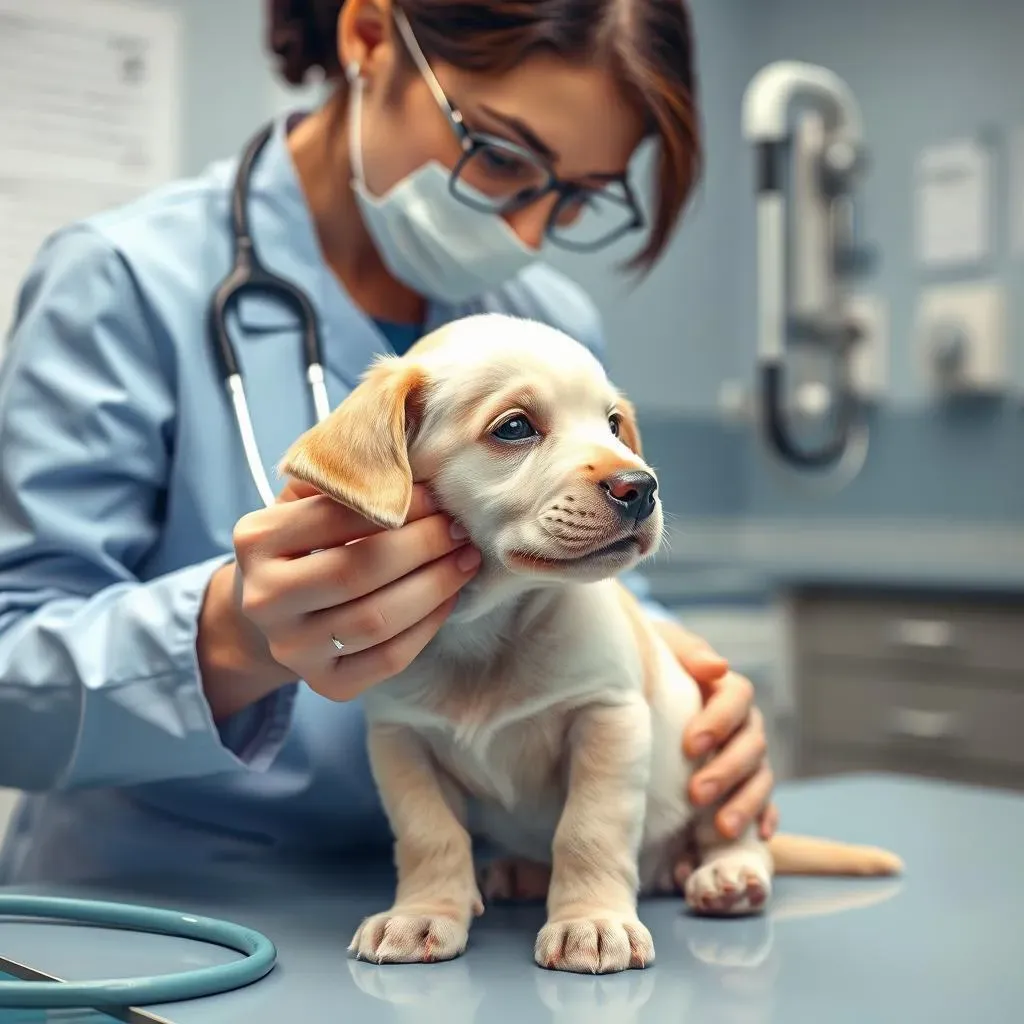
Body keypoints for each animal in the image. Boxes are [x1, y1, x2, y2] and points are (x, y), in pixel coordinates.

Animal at [282, 313, 905, 974]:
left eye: (611, 425)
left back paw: (727, 875)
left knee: (735, 834)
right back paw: (523, 872)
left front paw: (591, 923)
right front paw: (423, 913)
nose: (642, 485)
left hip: (716, 771)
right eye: (515, 427)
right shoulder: (401, 743)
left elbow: (587, 831)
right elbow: (431, 836)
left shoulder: (607, 719)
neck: (488, 630)